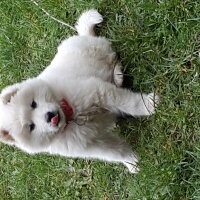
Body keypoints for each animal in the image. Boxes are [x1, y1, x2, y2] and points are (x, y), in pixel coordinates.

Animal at [0, 9, 159, 173]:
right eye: (31, 127)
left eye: (33, 104)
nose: (50, 116)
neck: (71, 116)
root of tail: (82, 35)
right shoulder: (92, 143)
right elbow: (115, 152)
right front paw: (132, 162)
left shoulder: (99, 92)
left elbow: (129, 103)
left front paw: (150, 104)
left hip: (99, 52)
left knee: (113, 56)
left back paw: (118, 74)